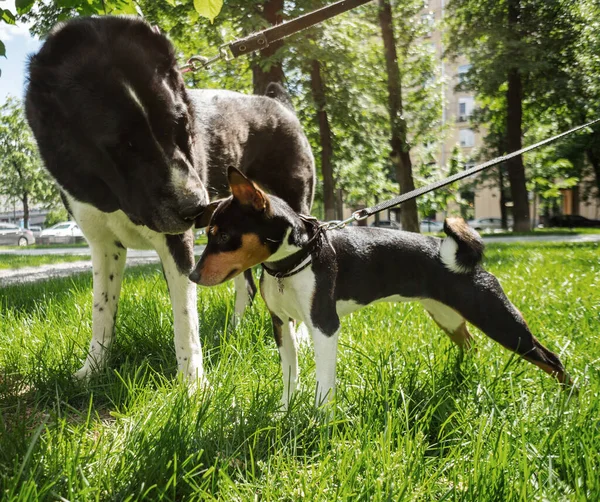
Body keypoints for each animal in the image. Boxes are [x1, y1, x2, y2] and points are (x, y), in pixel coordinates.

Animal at [24, 15, 314, 384]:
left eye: (179, 123)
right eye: (122, 146)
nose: (198, 209)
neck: (115, 198)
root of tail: (280, 105)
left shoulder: (178, 243)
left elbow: (185, 320)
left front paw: (193, 385)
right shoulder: (103, 244)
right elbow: (102, 309)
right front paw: (93, 368)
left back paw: (300, 335)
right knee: (245, 285)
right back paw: (233, 330)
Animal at [190, 168, 568, 408]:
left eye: (223, 236)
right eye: (208, 234)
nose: (192, 275)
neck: (294, 261)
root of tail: (469, 262)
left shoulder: (324, 326)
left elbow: (324, 383)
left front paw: (319, 420)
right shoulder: (282, 324)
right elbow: (289, 378)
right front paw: (285, 413)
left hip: (500, 320)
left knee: (552, 360)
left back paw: (568, 404)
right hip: (447, 316)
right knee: (472, 346)